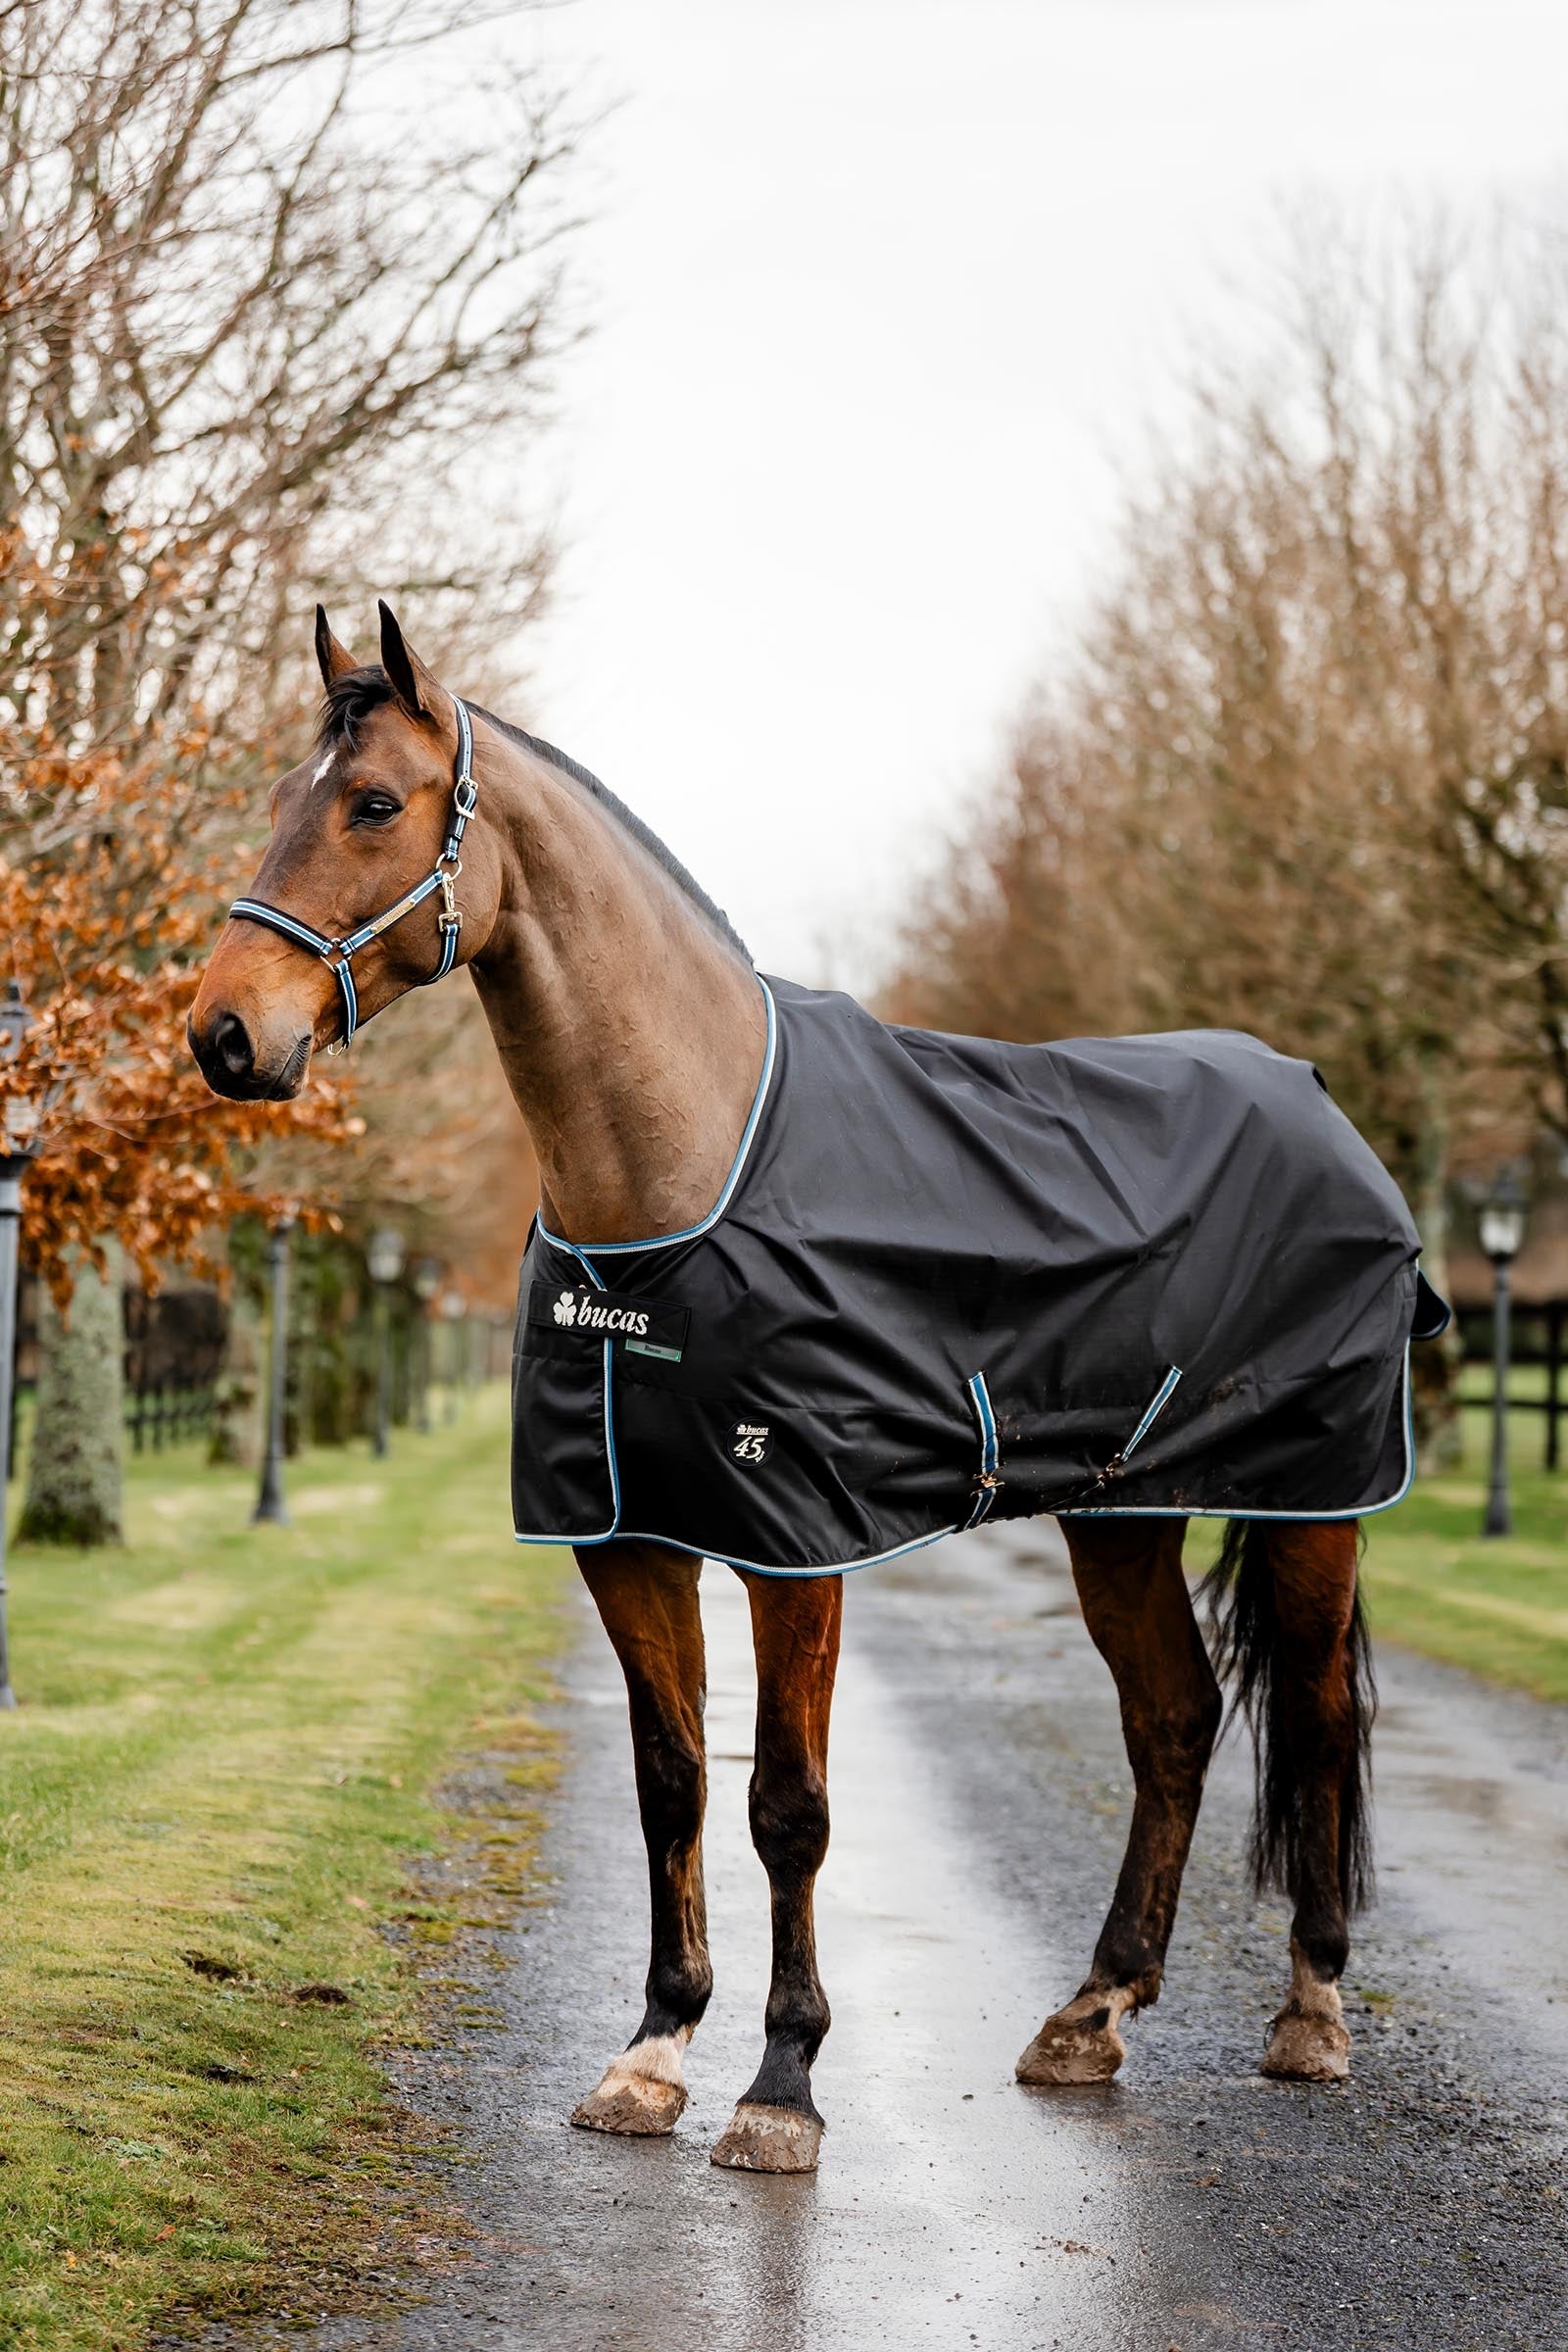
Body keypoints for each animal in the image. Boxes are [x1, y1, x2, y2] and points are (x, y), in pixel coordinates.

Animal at [189, 602, 1407, 2174]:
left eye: (376, 805)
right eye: (286, 794)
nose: (224, 1032)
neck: (687, 1168)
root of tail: (1320, 1104)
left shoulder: (796, 1545)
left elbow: (789, 1806)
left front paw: (781, 2086)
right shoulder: (626, 1539)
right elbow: (672, 1784)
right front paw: (652, 2054)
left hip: (1314, 1507)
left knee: (1313, 1720)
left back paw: (1309, 2013)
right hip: (1119, 1517)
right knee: (1174, 1722)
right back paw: (1092, 2013)